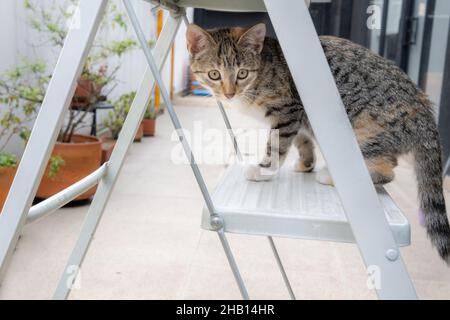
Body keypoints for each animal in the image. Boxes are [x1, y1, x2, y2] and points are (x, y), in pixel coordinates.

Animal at [185, 23, 450, 262]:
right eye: (214, 74)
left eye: (242, 73)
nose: (229, 93)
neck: (261, 73)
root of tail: (425, 109)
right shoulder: (299, 116)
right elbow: (302, 140)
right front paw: (306, 163)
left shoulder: (287, 109)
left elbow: (277, 145)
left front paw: (264, 170)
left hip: (361, 131)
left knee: (386, 169)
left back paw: (331, 177)